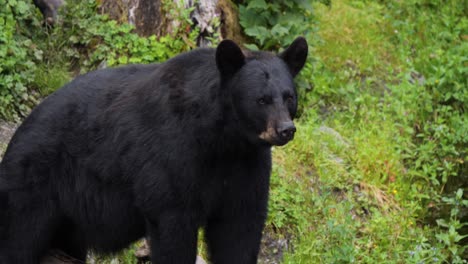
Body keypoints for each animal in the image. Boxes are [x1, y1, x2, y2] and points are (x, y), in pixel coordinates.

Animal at [0, 37, 308, 264]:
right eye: (261, 100)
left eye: (289, 97)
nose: (285, 129)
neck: (224, 138)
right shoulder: (174, 156)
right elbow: (173, 222)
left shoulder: (247, 165)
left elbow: (239, 227)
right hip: (34, 187)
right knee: (17, 241)